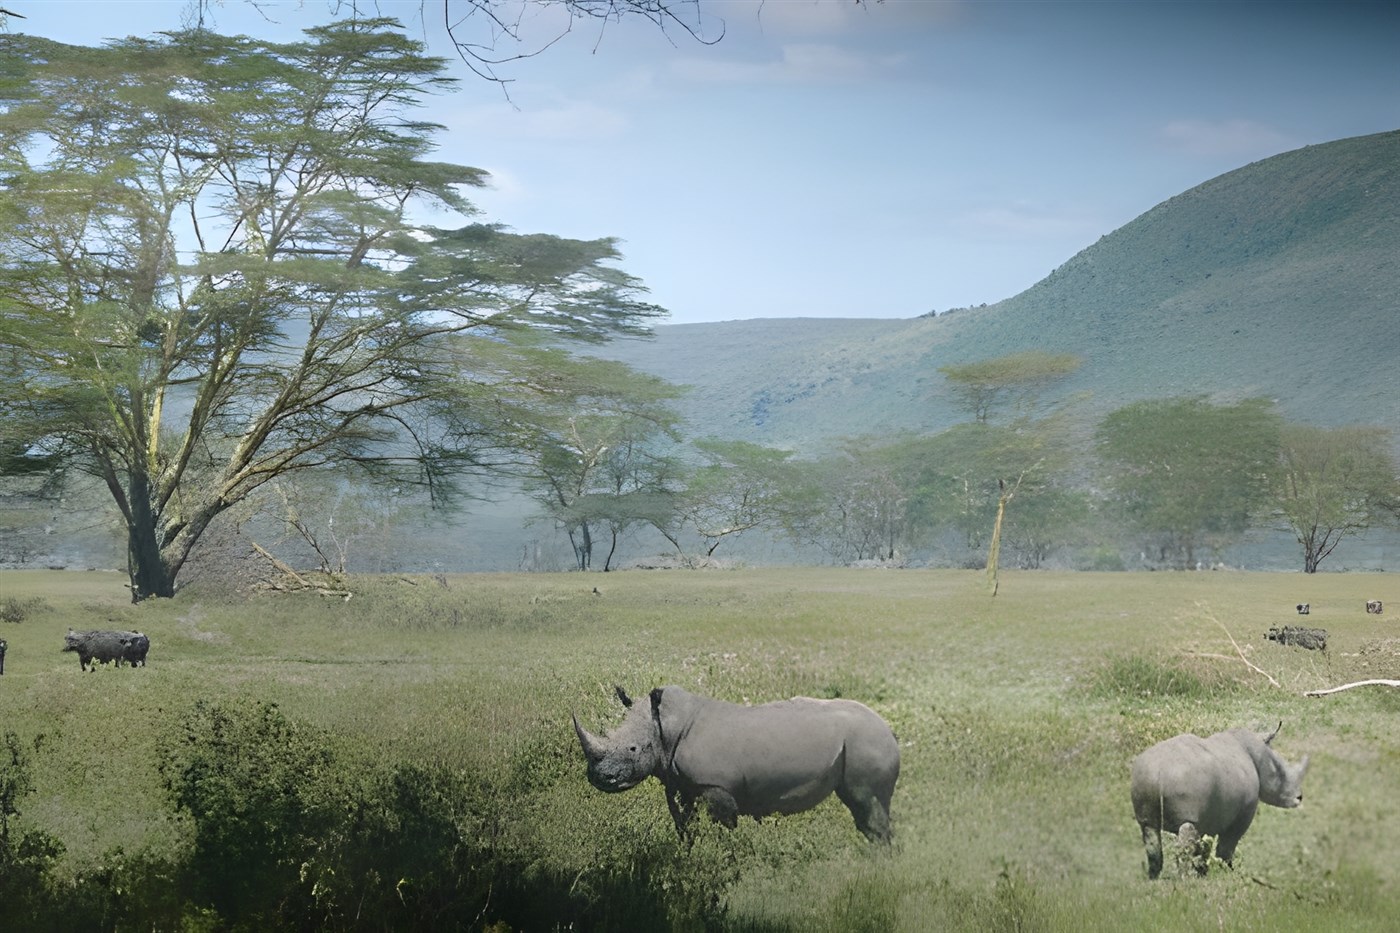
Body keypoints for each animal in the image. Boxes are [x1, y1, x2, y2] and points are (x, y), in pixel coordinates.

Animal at [573, 685, 899, 843]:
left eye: (634, 748)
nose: (600, 777)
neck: (666, 727)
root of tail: (889, 729)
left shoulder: (717, 787)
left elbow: (724, 829)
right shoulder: (679, 783)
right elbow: (684, 826)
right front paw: (687, 856)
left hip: (866, 741)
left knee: (867, 802)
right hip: (859, 743)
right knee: (861, 808)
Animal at [1130, 723, 1309, 878]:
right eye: (1281, 773)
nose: (1299, 797)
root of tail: (1158, 774)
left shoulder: (1210, 814)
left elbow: (1204, 846)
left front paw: (1203, 873)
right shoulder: (1244, 812)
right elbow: (1227, 845)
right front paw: (1228, 872)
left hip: (1143, 779)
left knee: (1149, 831)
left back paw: (1154, 879)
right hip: (1182, 784)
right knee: (1185, 831)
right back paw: (1184, 879)